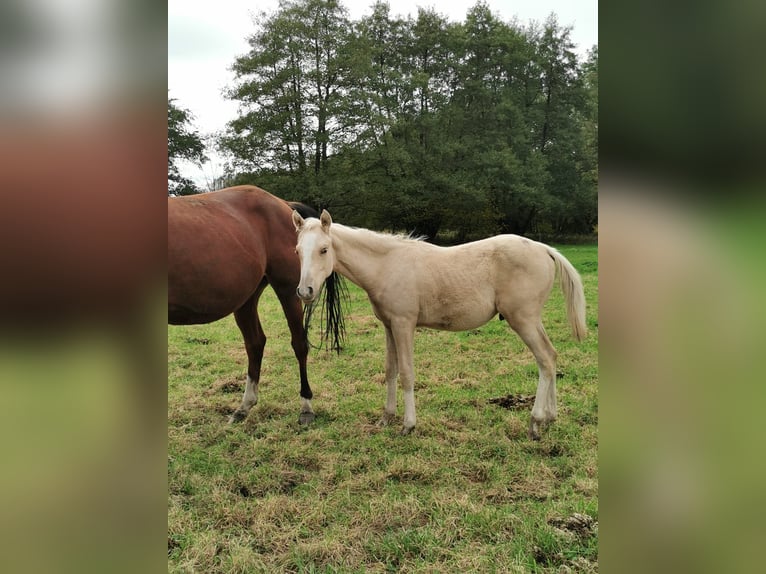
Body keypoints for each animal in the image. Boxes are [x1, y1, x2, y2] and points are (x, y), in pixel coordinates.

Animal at [172, 187, 348, 426]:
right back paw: (244, 407)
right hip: (247, 298)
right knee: (255, 343)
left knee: (299, 344)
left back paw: (306, 406)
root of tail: (283, 204)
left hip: (288, 290)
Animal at [294, 209, 588, 438]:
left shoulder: (404, 325)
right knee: (551, 356)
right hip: (532, 320)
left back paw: (536, 422)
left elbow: (407, 374)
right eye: (297, 251)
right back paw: (550, 418)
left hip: (523, 319)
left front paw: (408, 425)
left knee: (545, 359)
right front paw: (386, 417)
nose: (305, 292)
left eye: (323, 250)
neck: (386, 265)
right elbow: (390, 371)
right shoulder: (389, 326)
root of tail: (544, 249)